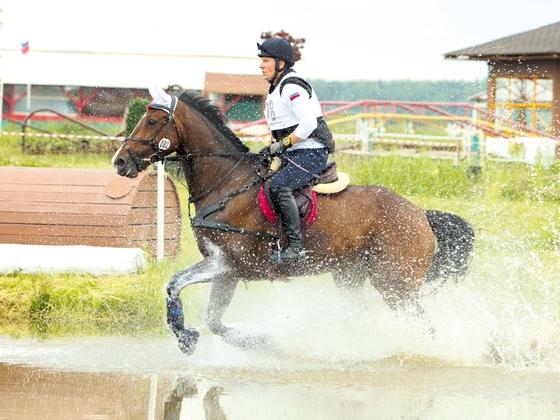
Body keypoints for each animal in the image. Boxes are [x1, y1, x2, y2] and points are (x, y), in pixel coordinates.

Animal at [111, 86, 474, 354]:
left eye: (153, 121)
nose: (119, 162)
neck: (226, 182)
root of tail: (421, 214)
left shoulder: (226, 262)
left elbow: (174, 284)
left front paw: (186, 336)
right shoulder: (226, 270)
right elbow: (213, 319)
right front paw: (256, 341)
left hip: (396, 284)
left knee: (425, 326)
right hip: (350, 275)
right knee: (358, 314)